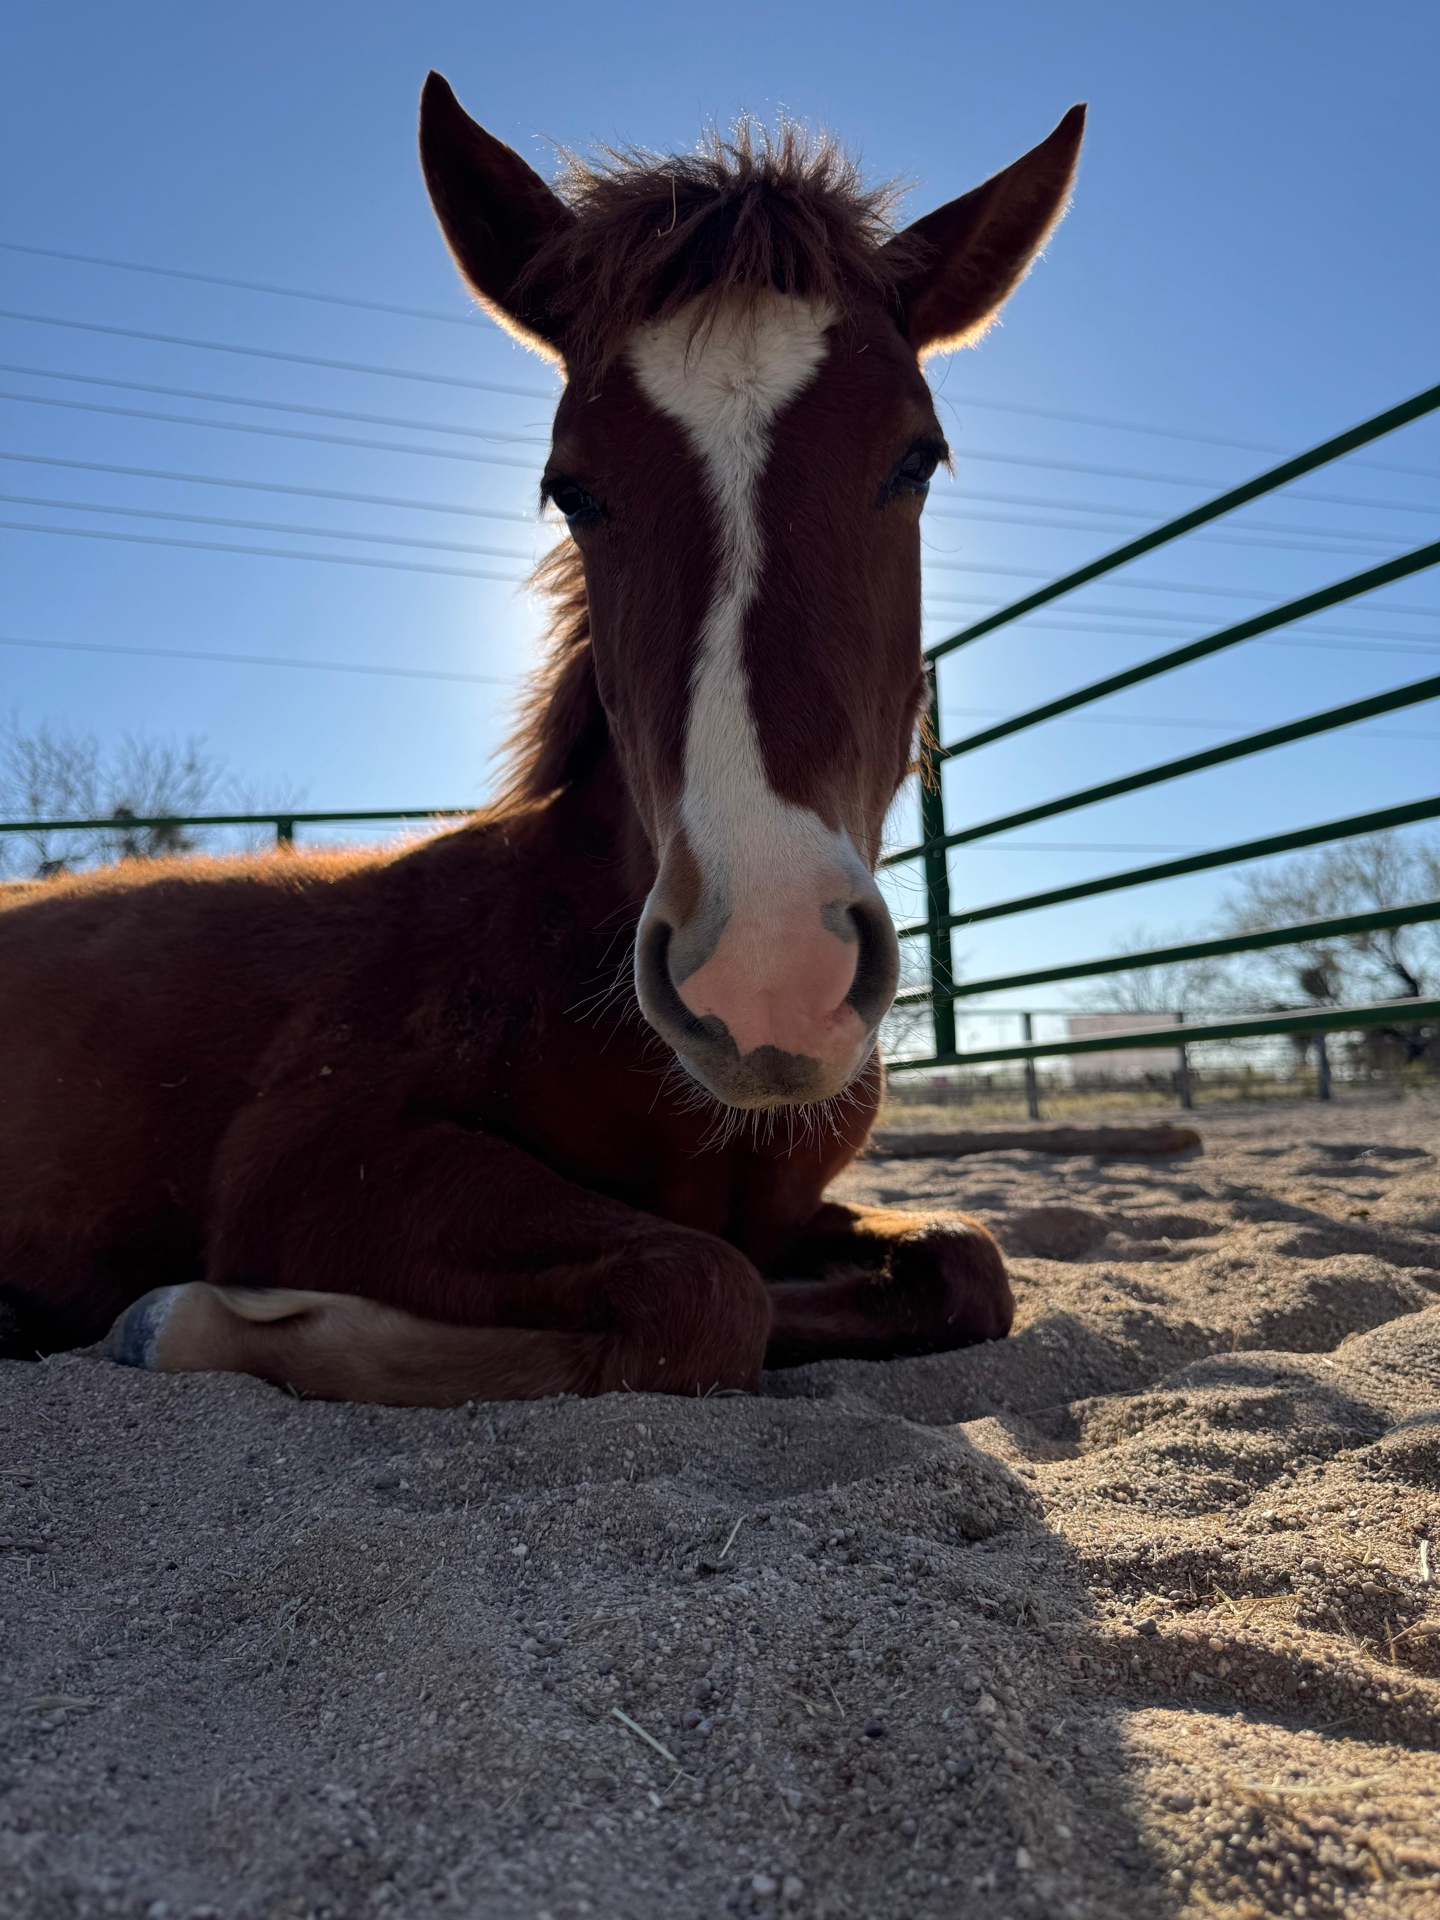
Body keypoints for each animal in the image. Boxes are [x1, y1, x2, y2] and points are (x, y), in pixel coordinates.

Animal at [0, 74, 1084, 1405]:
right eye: (573, 488)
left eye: (916, 460)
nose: (766, 973)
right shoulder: (308, 1164)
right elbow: (702, 1293)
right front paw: (188, 1321)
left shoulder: (798, 1206)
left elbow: (962, 1260)